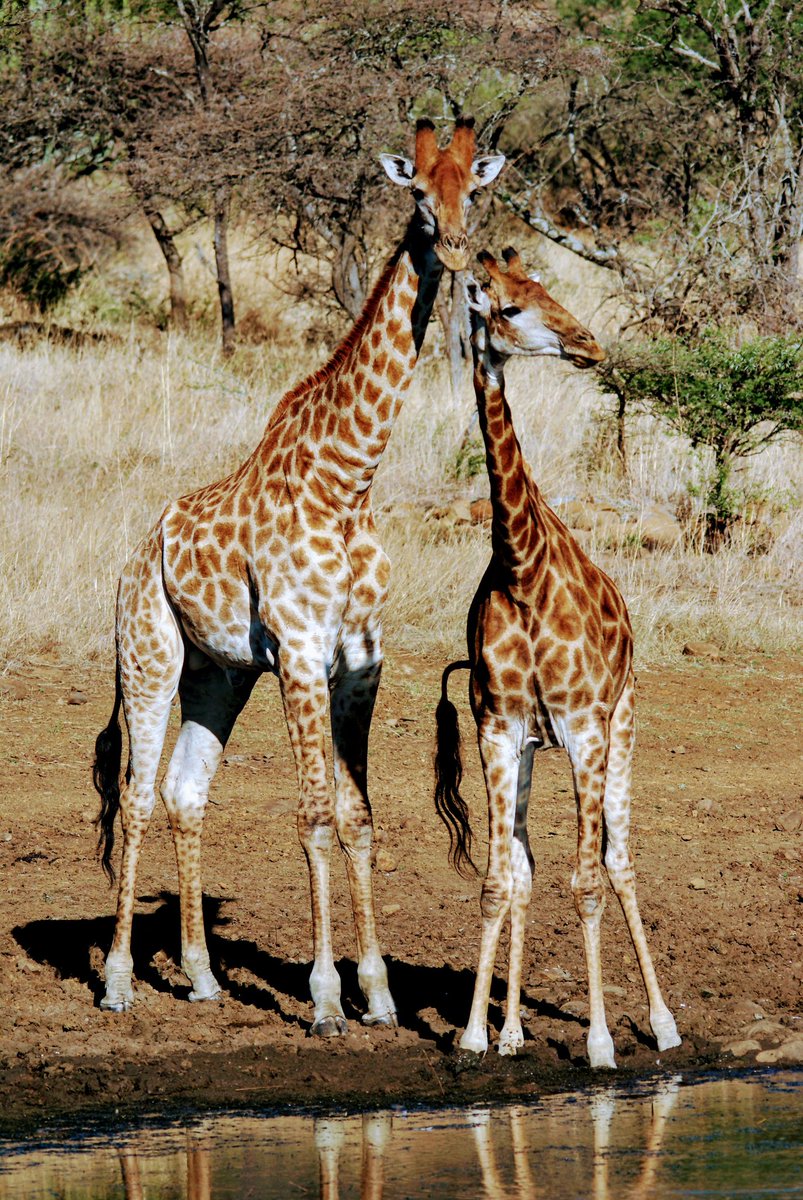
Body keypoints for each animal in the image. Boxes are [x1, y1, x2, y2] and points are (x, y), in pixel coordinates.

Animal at [92, 119, 501, 1032]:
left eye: (475, 188)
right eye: (418, 192)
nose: (458, 249)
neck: (347, 480)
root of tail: (134, 555)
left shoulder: (360, 661)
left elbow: (359, 817)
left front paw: (378, 994)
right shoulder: (303, 653)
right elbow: (314, 816)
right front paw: (322, 1000)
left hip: (218, 673)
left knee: (184, 792)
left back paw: (203, 977)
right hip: (148, 657)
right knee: (135, 796)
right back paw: (120, 983)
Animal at [434, 246, 681, 1070]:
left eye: (545, 287)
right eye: (507, 308)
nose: (588, 345)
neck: (521, 566)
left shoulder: (586, 730)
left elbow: (588, 881)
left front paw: (602, 1043)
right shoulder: (499, 729)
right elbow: (500, 880)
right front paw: (475, 1034)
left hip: (622, 727)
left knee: (620, 860)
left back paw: (664, 1024)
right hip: (534, 749)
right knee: (526, 867)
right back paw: (513, 1030)